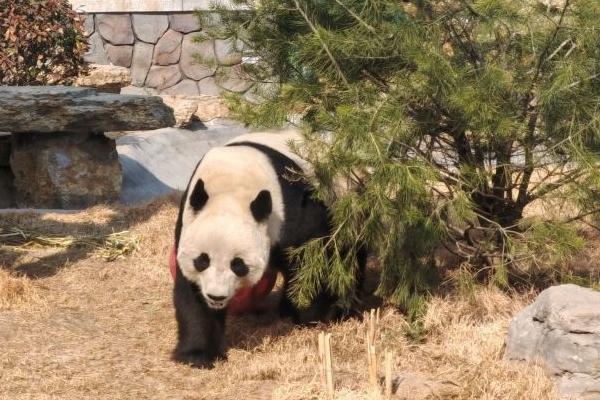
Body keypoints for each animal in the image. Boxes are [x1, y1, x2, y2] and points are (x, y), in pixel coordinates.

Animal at [170, 129, 366, 368]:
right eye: (202, 260)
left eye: (238, 265)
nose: (216, 296)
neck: (231, 187)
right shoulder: (188, 222)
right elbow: (192, 295)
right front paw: (198, 355)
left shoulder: (291, 208)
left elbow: (312, 258)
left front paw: (311, 316)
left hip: (347, 203)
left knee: (348, 257)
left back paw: (339, 308)